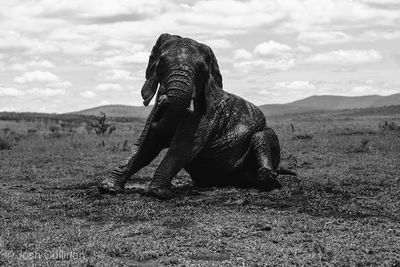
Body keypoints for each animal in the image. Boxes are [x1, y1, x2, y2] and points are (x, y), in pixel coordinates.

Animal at [98, 33, 296, 199]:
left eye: (201, 69)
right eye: (161, 62)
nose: (163, 99)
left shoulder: (206, 112)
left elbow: (182, 147)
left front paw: (157, 193)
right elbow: (146, 145)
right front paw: (108, 188)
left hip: (263, 135)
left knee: (261, 136)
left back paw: (269, 180)